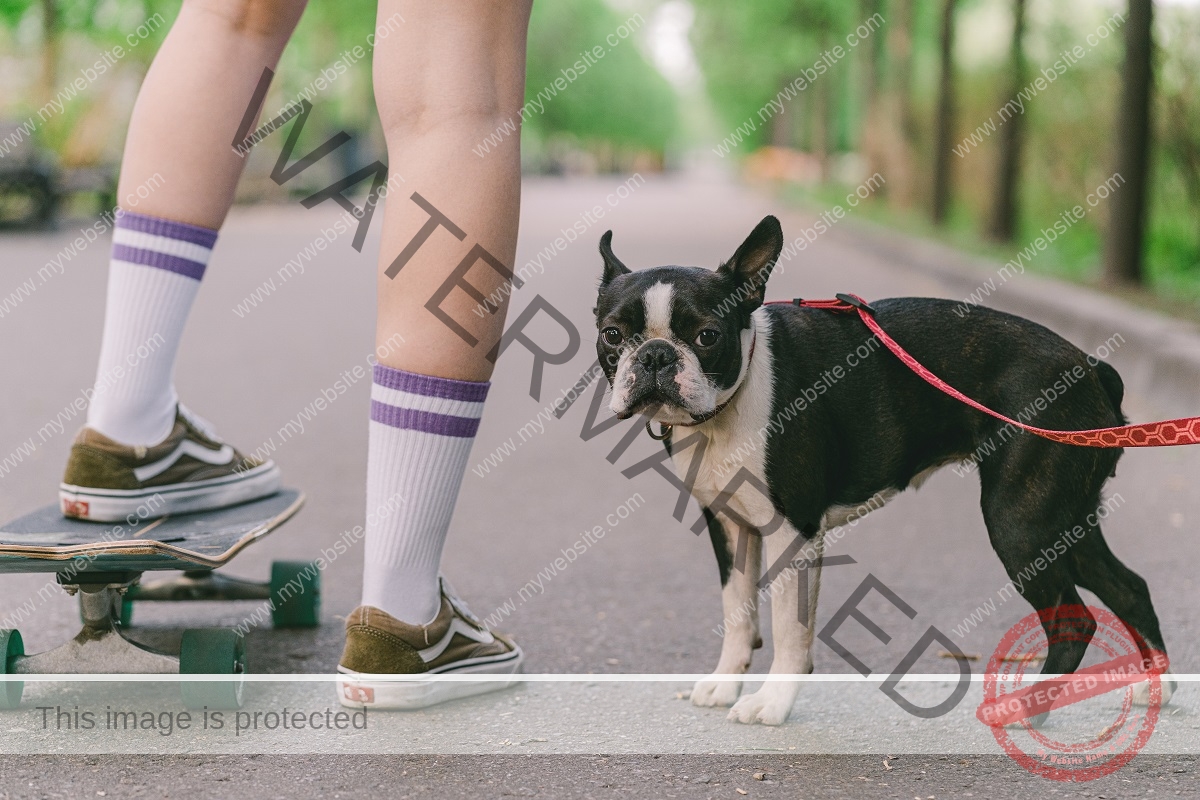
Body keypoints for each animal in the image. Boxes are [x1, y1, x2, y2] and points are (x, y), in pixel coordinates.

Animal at [590, 217, 1171, 724]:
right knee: (1130, 587)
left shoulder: (793, 532)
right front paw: (724, 684)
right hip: (1064, 518)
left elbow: (788, 627)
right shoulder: (729, 526)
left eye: (708, 337)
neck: (728, 405)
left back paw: (1027, 708)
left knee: (1074, 619)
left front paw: (771, 705)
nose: (656, 355)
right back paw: (1154, 690)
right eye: (613, 335)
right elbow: (738, 610)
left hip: (1019, 520)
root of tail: (1092, 368)